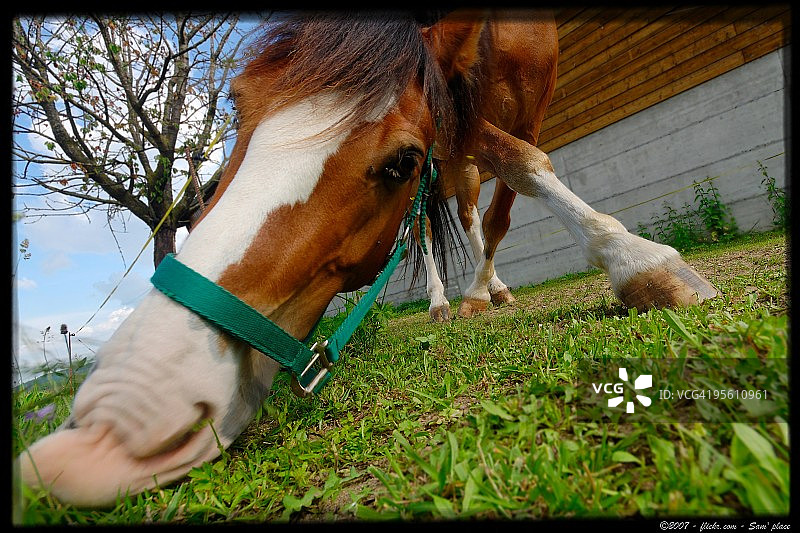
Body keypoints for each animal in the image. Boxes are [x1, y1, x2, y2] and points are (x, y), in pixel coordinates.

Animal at [17, 10, 719, 508]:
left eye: (401, 161)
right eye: (237, 105)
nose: (112, 424)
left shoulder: (513, 105)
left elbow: (519, 174)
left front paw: (639, 260)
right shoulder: (449, 110)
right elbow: (476, 192)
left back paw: (486, 291)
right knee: (439, 225)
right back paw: (452, 298)